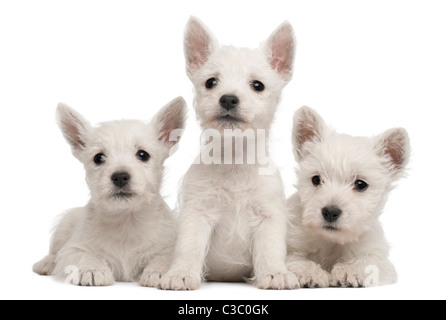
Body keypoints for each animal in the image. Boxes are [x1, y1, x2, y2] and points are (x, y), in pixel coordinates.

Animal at [33, 97, 186, 288]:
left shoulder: (168, 245)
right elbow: (83, 255)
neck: (126, 220)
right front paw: (92, 269)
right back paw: (46, 263)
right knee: (54, 251)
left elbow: (164, 257)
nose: (120, 176)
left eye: (143, 154)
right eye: (98, 158)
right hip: (64, 226)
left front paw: (158, 272)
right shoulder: (74, 248)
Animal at [160, 16, 300, 290]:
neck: (235, 158)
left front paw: (274, 273)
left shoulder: (269, 217)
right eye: (211, 82)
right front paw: (181, 273)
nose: (228, 99)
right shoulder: (197, 213)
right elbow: (189, 247)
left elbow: (270, 249)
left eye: (257, 85)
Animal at [288, 105, 410, 288]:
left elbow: (367, 262)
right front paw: (311, 273)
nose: (330, 212)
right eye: (316, 179)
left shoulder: (377, 256)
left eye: (360, 184)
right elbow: (294, 259)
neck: (332, 241)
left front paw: (350, 271)